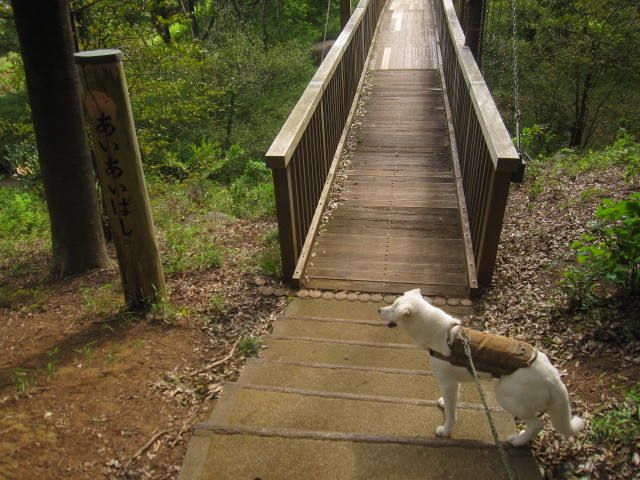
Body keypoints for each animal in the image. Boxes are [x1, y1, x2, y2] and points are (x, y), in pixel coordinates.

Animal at [380, 288, 584, 446]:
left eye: (393, 308)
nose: (378, 309)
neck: (441, 334)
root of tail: (554, 378)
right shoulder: (454, 383)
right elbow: (451, 403)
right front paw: (444, 403)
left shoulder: (447, 382)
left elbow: (452, 414)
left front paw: (445, 431)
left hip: (507, 396)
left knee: (536, 425)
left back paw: (517, 441)